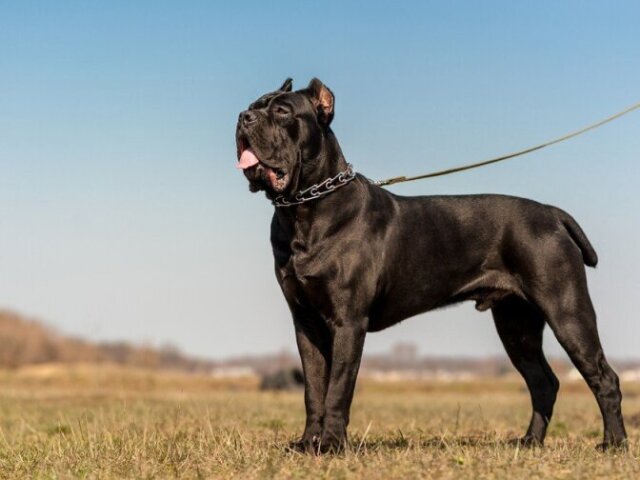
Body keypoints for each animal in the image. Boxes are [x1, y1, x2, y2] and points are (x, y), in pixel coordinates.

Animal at [234, 77, 624, 452]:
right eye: (254, 105)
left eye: (283, 111)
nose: (243, 117)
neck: (304, 209)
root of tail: (552, 213)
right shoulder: (306, 323)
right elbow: (314, 389)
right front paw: (307, 444)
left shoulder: (348, 321)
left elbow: (338, 389)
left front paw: (330, 445)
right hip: (517, 325)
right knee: (543, 382)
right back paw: (530, 442)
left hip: (567, 311)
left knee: (604, 377)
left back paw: (613, 443)